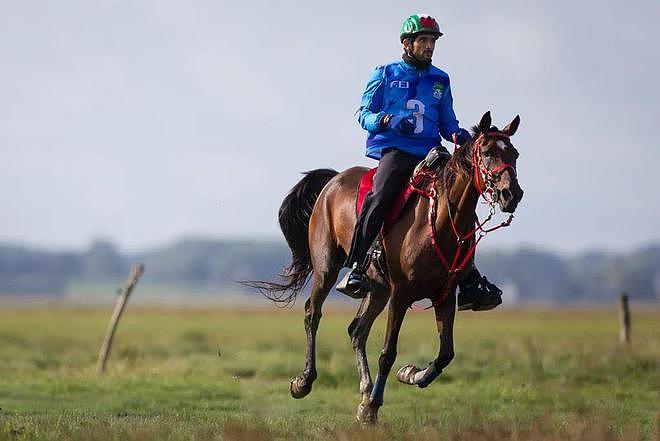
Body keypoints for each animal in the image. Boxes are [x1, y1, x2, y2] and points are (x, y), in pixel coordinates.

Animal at [250, 111, 524, 422]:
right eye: (487, 152)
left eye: (514, 153)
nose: (511, 194)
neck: (438, 221)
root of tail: (333, 180)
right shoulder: (401, 294)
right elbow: (388, 353)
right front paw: (372, 407)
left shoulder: (443, 296)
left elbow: (446, 353)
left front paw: (410, 374)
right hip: (327, 268)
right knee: (312, 314)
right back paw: (304, 381)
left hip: (378, 288)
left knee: (357, 330)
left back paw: (364, 391)